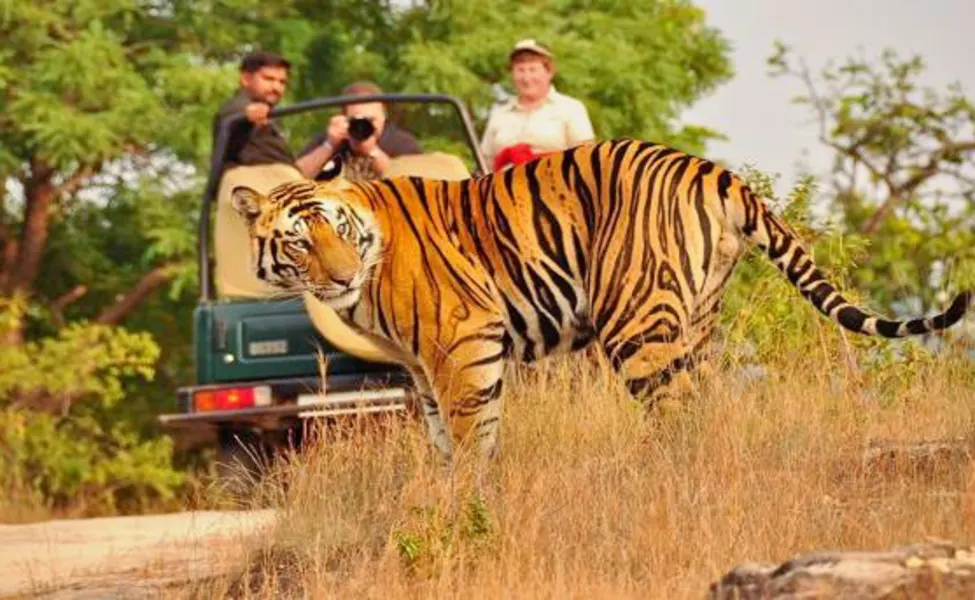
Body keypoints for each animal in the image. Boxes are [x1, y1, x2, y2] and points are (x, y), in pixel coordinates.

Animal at [233, 139, 972, 460]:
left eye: (337, 230)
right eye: (299, 242)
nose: (337, 280)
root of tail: (716, 170)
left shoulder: (463, 345)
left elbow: (473, 438)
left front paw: (470, 509)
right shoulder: (421, 368)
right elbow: (444, 442)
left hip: (636, 323)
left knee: (677, 415)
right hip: (695, 320)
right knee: (707, 405)